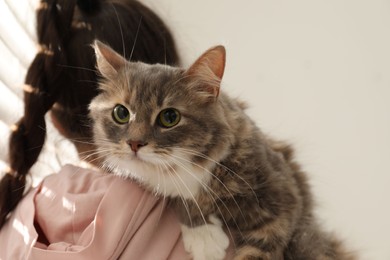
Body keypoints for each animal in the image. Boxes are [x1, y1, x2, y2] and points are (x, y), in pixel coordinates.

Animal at [89, 41, 356, 260]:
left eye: (169, 117)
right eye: (121, 113)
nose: (134, 143)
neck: (194, 171)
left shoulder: (284, 202)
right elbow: (178, 198)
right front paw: (204, 237)